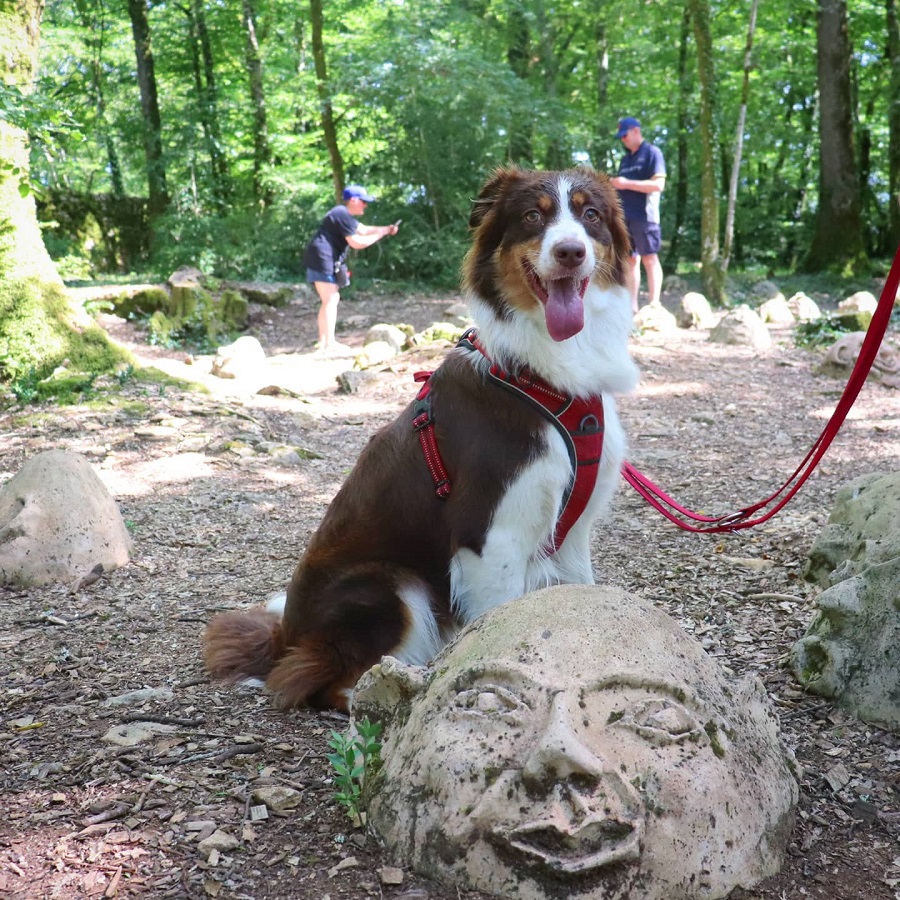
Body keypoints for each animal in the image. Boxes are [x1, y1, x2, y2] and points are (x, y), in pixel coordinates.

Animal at [204, 163, 640, 712]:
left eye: (591, 215)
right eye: (532, 216)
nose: (570, 252)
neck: (542, 379)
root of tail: (283, 637)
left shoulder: (574, 530)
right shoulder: (487, 534)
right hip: (387, 584)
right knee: (323, 682)